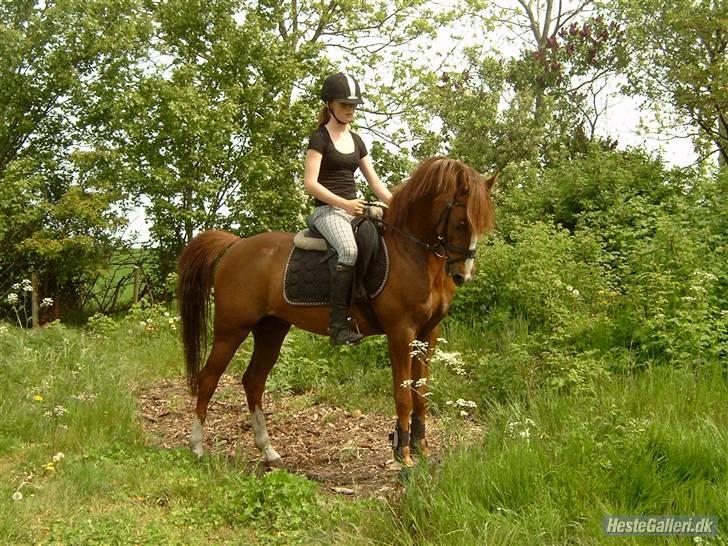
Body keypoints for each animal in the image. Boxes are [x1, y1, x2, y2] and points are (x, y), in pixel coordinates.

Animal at [177, 156, 496, 467]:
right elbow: (404, 394)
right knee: (208, 379)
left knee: (253, 381)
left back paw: (268, 451)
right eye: (462, 221)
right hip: (231, 329)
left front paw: (421, 449)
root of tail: (236, 246)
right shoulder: (401, 332)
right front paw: (403, 454)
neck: (412, 252)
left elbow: (421, 393)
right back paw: (196, 448)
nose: (463, 275)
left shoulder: (428, 334)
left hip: (271, 329)